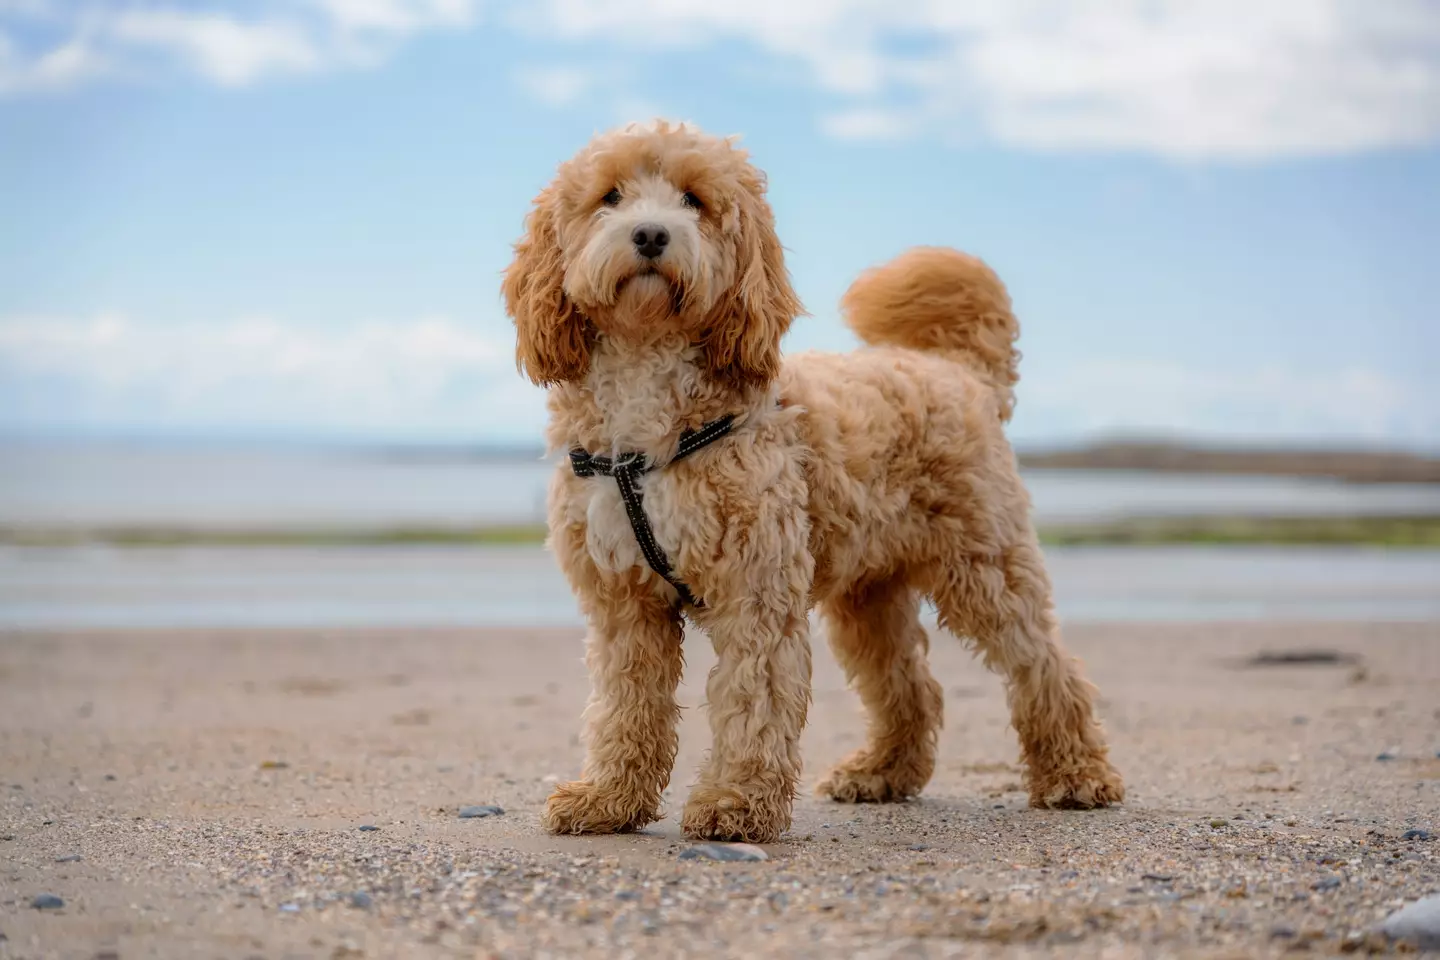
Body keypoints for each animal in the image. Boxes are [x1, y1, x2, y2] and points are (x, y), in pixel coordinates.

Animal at [506, 118, 1123, 840]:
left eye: (694, 200)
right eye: (610, 196)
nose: (652, 235)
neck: (649, 384)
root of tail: (957, 369)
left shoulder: (756, 589)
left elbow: (753, 697)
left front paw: (734, 803)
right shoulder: (624, 604)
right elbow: (627, 705)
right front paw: (609, 798)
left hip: (987, 567)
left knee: (1044, 666)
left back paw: (1076, 775)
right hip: (868, 597)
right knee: (908, 685)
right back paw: (880, 773)